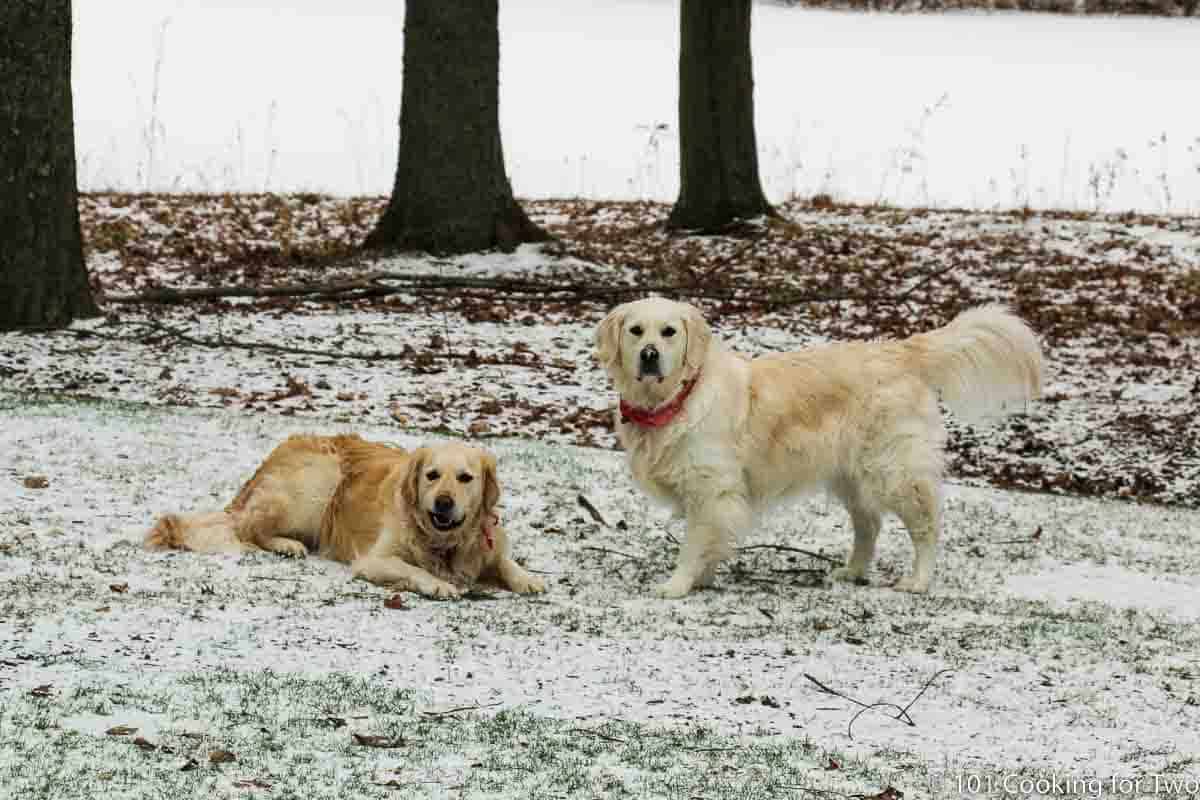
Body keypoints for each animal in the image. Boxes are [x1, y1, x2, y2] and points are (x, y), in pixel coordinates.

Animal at [595, 297, 1046, 597]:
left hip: (895, 471)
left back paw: (918, 580)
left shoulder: (712, 489)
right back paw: (852, 571)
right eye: (636, 331)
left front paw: (677, 584)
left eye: (669, 332)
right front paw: (703, 578)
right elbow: (712, 541)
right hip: (852, 475)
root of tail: (900, 351)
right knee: (870, 525)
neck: (676, 400)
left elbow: (695, 543)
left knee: (926, 525)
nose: (649, 355)